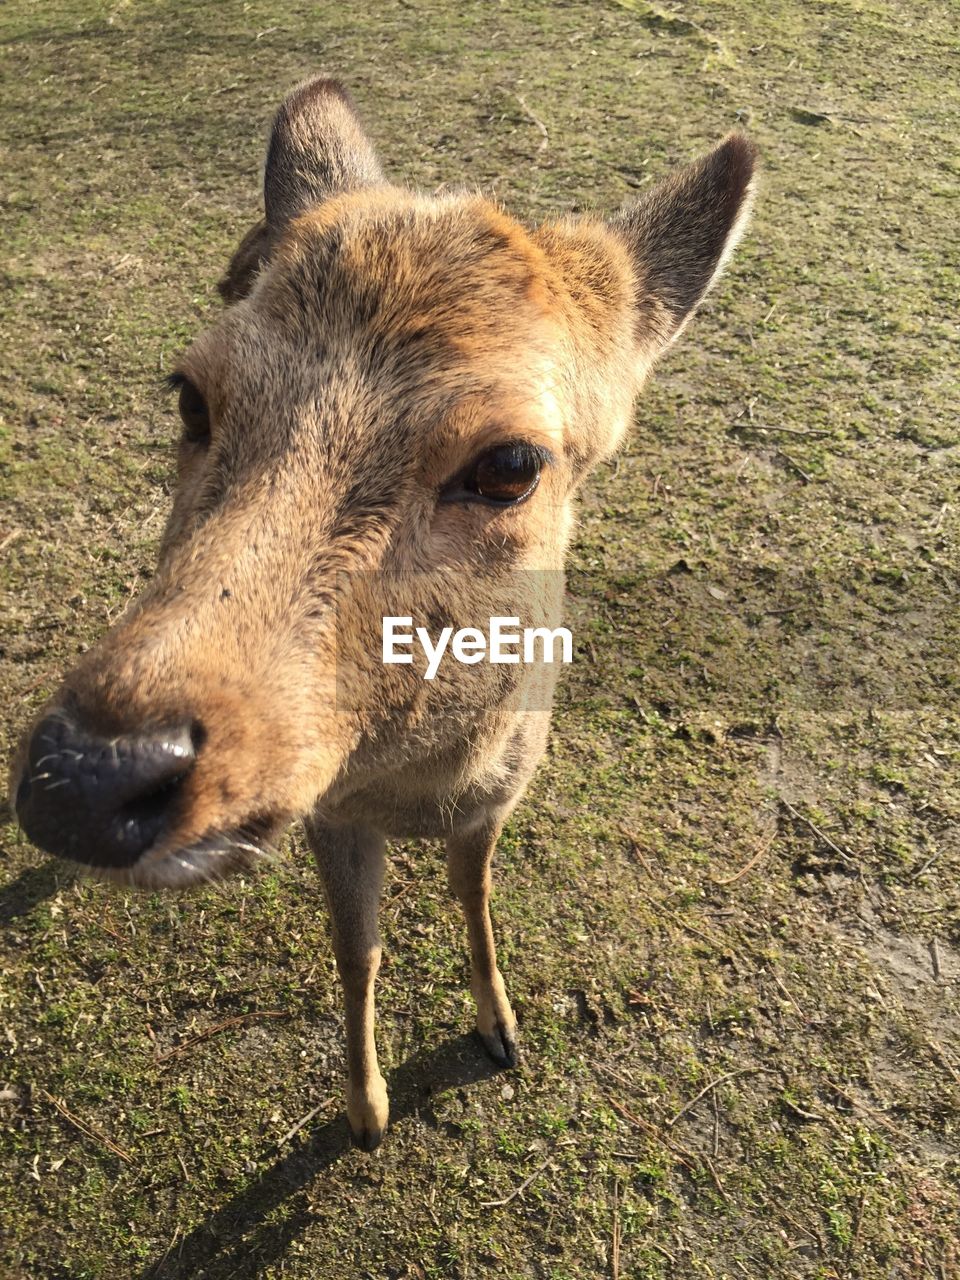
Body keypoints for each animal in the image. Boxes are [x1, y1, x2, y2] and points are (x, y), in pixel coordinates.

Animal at [9, 74, 757, 1146]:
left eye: (512, 463)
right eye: (191, 395)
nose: (86, 775)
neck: (415, 786)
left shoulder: (501, 792)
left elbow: (474, 892)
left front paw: (501, 1029)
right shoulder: (334, 817)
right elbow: (357, 949)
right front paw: (367, 1110)